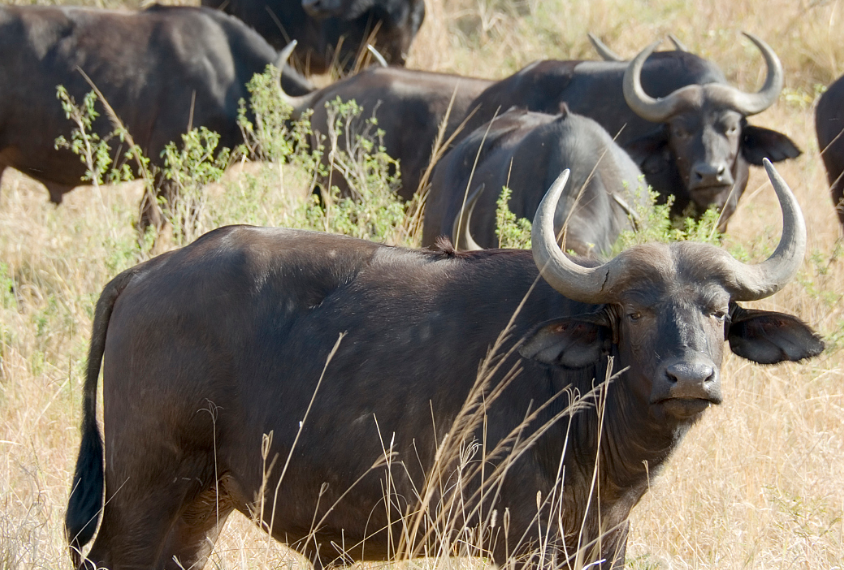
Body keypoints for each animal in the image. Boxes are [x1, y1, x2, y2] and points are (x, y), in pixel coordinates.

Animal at [67, 160, 824, 568]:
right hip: (143, 492)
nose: (689, 378)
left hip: (200, 505)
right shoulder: (521, 541)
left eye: (719, 312)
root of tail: (144, 275)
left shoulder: (603, 542)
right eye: (633, 312)